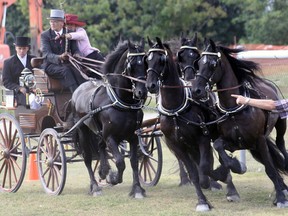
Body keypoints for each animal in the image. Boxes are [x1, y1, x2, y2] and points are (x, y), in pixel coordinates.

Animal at [71, 38, 147, 197]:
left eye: (145, 63)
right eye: (131, 64)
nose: (142, 92)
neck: (120, 101)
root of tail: (77, 91)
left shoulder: (133, 136)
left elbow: (134, 161)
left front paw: (137, 189)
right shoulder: (111, 137)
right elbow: (120, 162)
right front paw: (114, 178)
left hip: (100, 133)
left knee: (100, 147)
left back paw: (103, 170)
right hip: (83, 131)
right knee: (88, 158)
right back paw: (95, 187)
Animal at [146, 37, 238, 211]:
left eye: (161, 60)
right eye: (147, 59)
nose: (150, 85)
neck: (175, 108)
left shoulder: (202, 139)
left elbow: (205, 168)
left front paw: (217, 178)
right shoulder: (177, 145)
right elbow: (195, 174)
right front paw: (202, 201)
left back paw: (230, 189)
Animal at [192, 38, 288, 208]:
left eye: (212, 63)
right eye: (199, 63)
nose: (196, 90)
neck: (234, 110)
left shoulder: (259, 139)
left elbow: (270, 169)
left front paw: (281, 199)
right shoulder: (234, 142)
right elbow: (219, 148)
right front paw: (234, 167)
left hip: (279, 126)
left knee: (280, 145)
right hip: (253, 147)